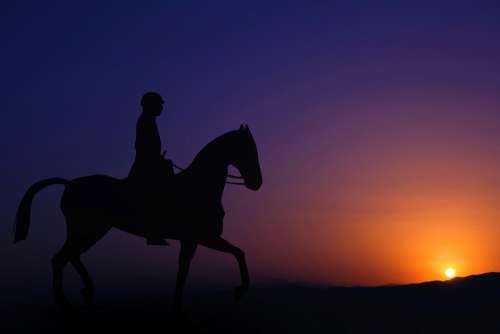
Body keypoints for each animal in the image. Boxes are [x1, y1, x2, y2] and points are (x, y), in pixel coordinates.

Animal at [12, 124, 262, 314]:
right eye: (248, 149)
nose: (257, 183)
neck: (198, 186)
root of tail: (69, 183)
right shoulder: (204, 237)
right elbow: (239, 253)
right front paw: (239, 290)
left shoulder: (192, 240)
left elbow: (184, 269)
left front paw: (178, 305)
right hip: (89, 230)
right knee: (60, 259)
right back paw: (65, 302)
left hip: (88, 231)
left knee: (71, 256)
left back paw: (87, 292)